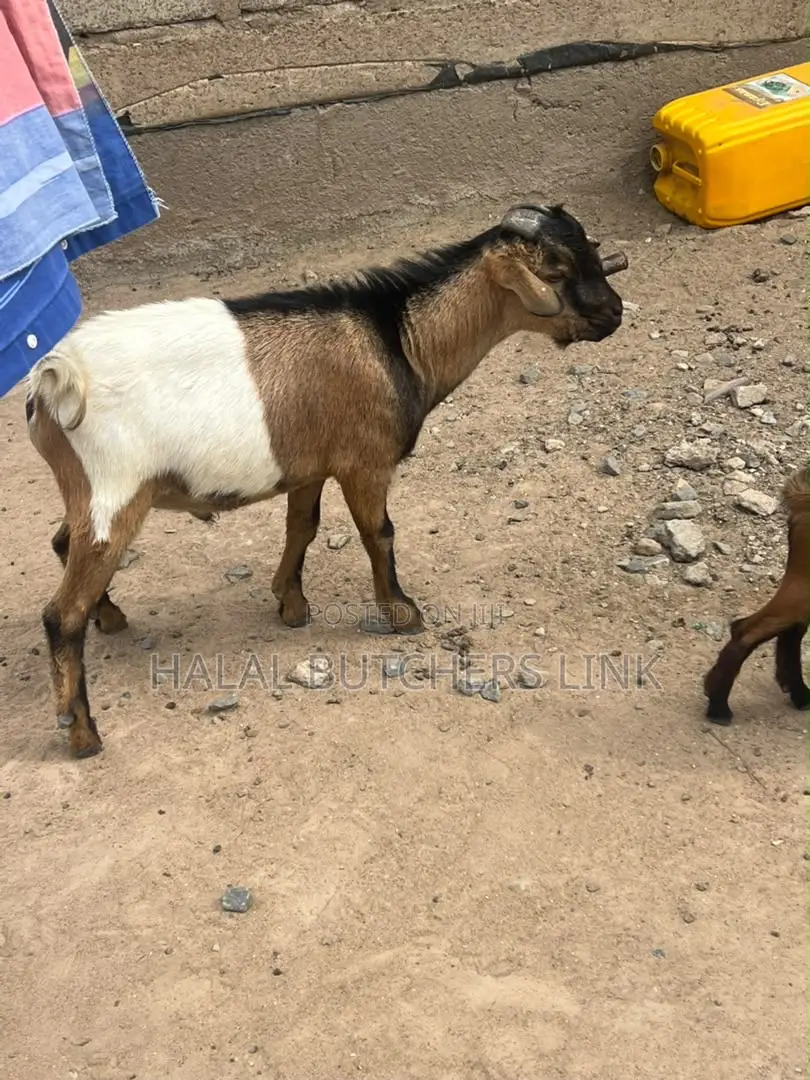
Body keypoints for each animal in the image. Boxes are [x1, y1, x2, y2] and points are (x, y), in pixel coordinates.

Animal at [25, 202, 627, 757]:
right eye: (554, 269)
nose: (615, 313)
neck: (397, 339)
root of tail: (55, 378)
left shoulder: (310, 466)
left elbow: (303, 528)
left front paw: (291, 605)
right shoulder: (365, 463)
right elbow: (378, 534)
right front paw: (401, 612)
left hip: (90, 495)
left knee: (62, 544)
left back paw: (109, 614)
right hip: (115, 492)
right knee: (61, 614)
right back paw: (82, 733)